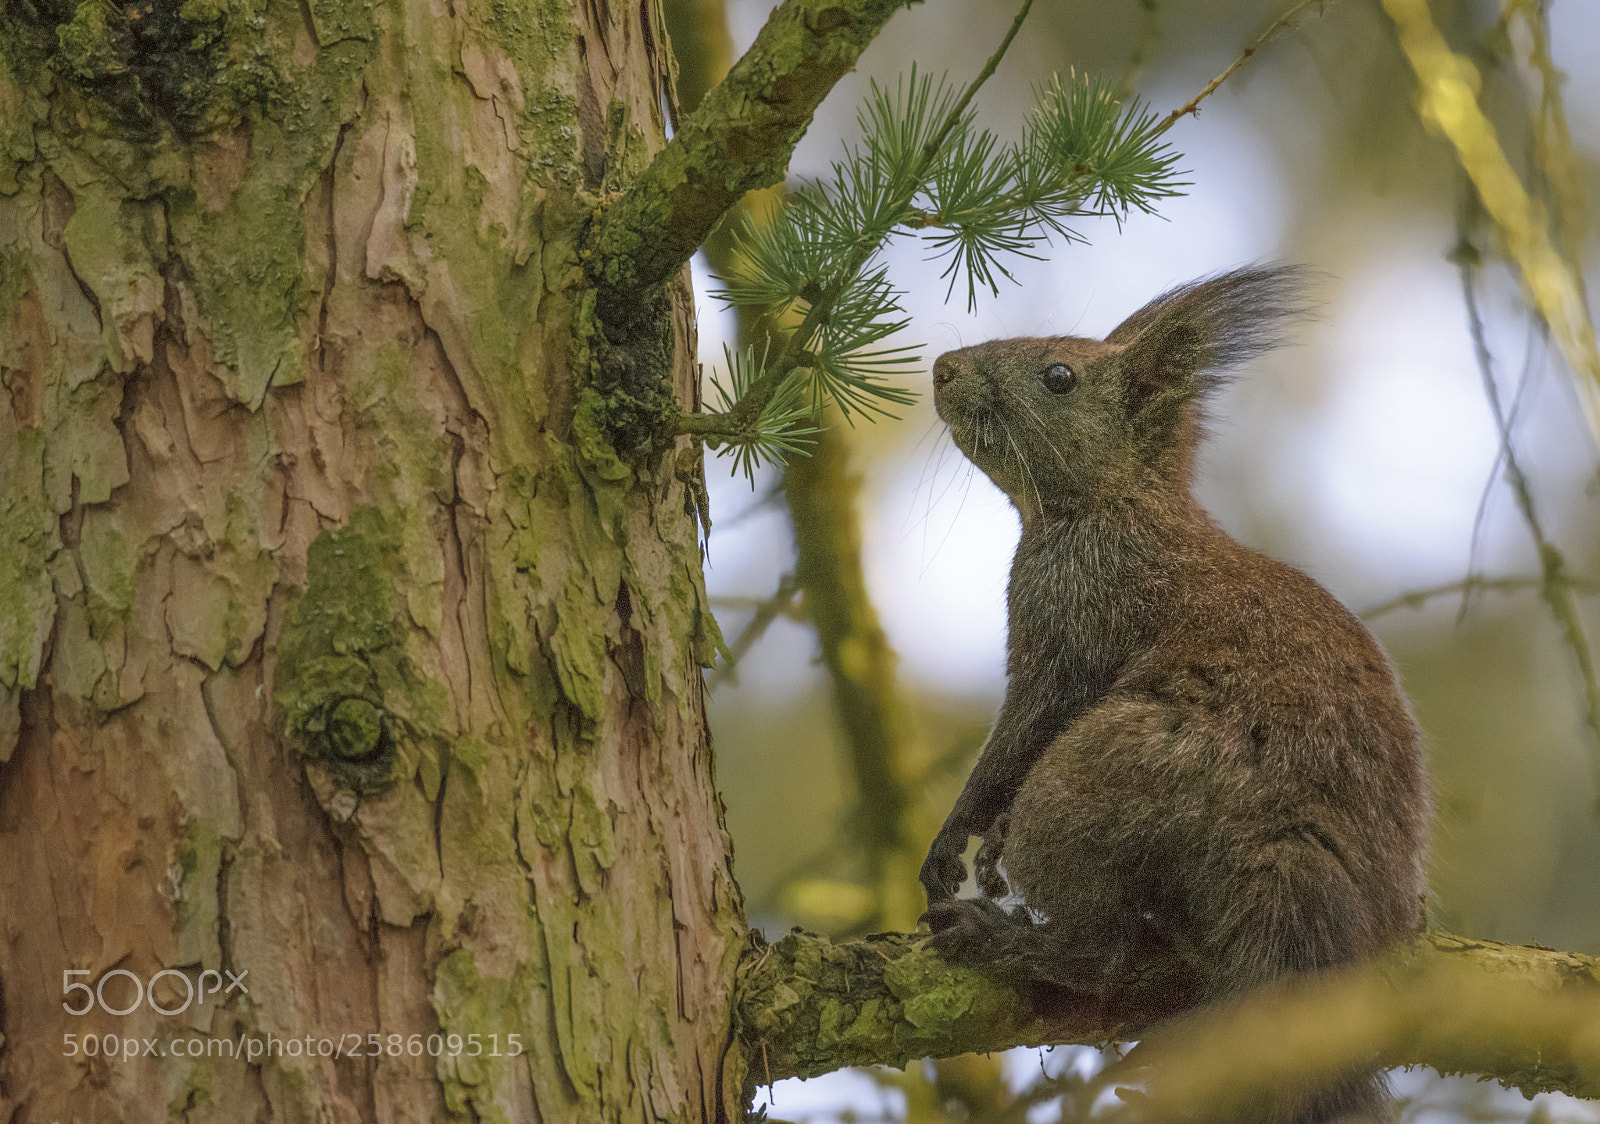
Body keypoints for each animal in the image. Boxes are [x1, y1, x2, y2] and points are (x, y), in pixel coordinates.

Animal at [918, 265, 1428, 1123]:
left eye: (1060, 376)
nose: (943, 371)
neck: (1109, 508)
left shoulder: (1068, 638)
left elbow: (1013, 744)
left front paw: (958, 839)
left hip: (1100, 776)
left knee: (1100, 948)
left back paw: (1003, 938)